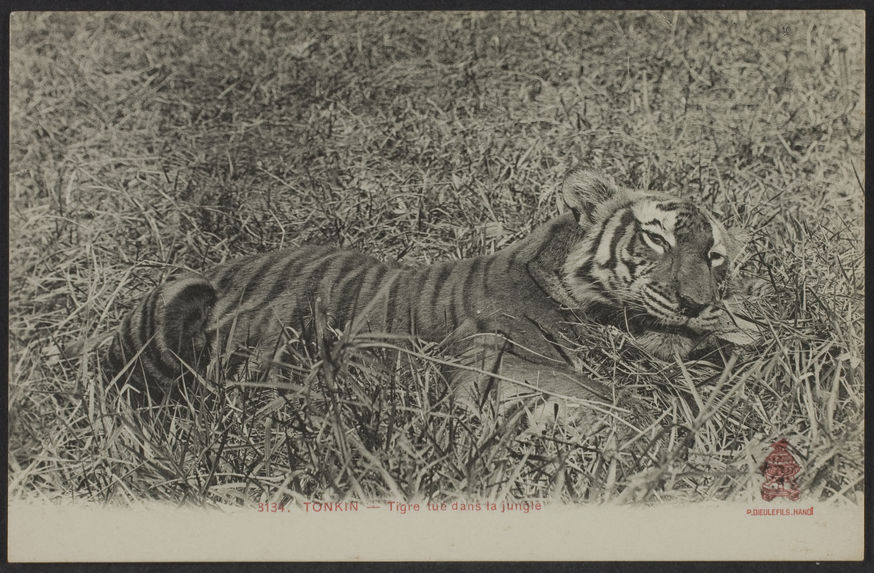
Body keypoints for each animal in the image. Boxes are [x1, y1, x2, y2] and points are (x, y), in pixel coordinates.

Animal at [105, 169, 752, 416]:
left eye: (714, 257)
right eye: (657, 240)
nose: (697, 303)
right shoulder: (494, 351)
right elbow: (613, 399)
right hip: (182, 297)